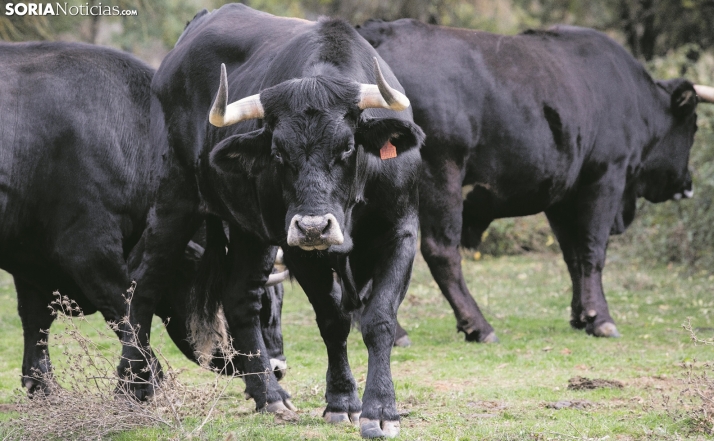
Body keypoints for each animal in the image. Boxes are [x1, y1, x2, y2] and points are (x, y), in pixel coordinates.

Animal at [0, 41, 290, 396]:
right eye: (263, 308)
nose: (278, 368)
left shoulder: (30, 257)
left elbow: (35, 320)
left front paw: (41, 385)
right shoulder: (87, 249)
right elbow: (124, 308)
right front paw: (146, 380)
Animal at [121, 3, 422, 436]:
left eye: (347, 147)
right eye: (278, 153)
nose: (313, 227)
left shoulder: (401, 233)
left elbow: (378, 319)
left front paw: (381, 410)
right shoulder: (297, 249)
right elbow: (333, 320)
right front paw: (342, 401)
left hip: (251, 233)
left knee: (240, 298)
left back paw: (269, 395)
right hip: (176, 199)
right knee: (144, 283)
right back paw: (132, 385)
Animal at [356, 20, 712, 342]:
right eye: (693, 124)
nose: (688, 184)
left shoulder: (562, 195)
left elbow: (573, 256)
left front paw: (581, 316)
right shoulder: (605, 178)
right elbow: (593, 251)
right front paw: (601, 319)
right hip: (441, 175)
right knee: (441, 251)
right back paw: (477, 325)